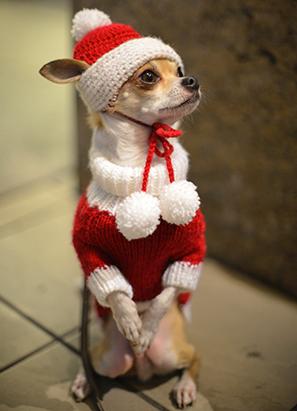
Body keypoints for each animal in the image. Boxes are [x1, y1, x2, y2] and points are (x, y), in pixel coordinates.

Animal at [40, 8, 206, 410]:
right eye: (148, 76)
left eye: (179, 71)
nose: (192, 80)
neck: (137, 164)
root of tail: (141, 369)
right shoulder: (90, 250)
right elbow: (115, 290)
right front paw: (130, 318)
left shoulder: (190, 252)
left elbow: (166, 293)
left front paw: (145, 326)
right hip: (109, 357)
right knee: (92, 359)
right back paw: (84, 380)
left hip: (173, 350)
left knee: (194, 359)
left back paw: (183, 385)